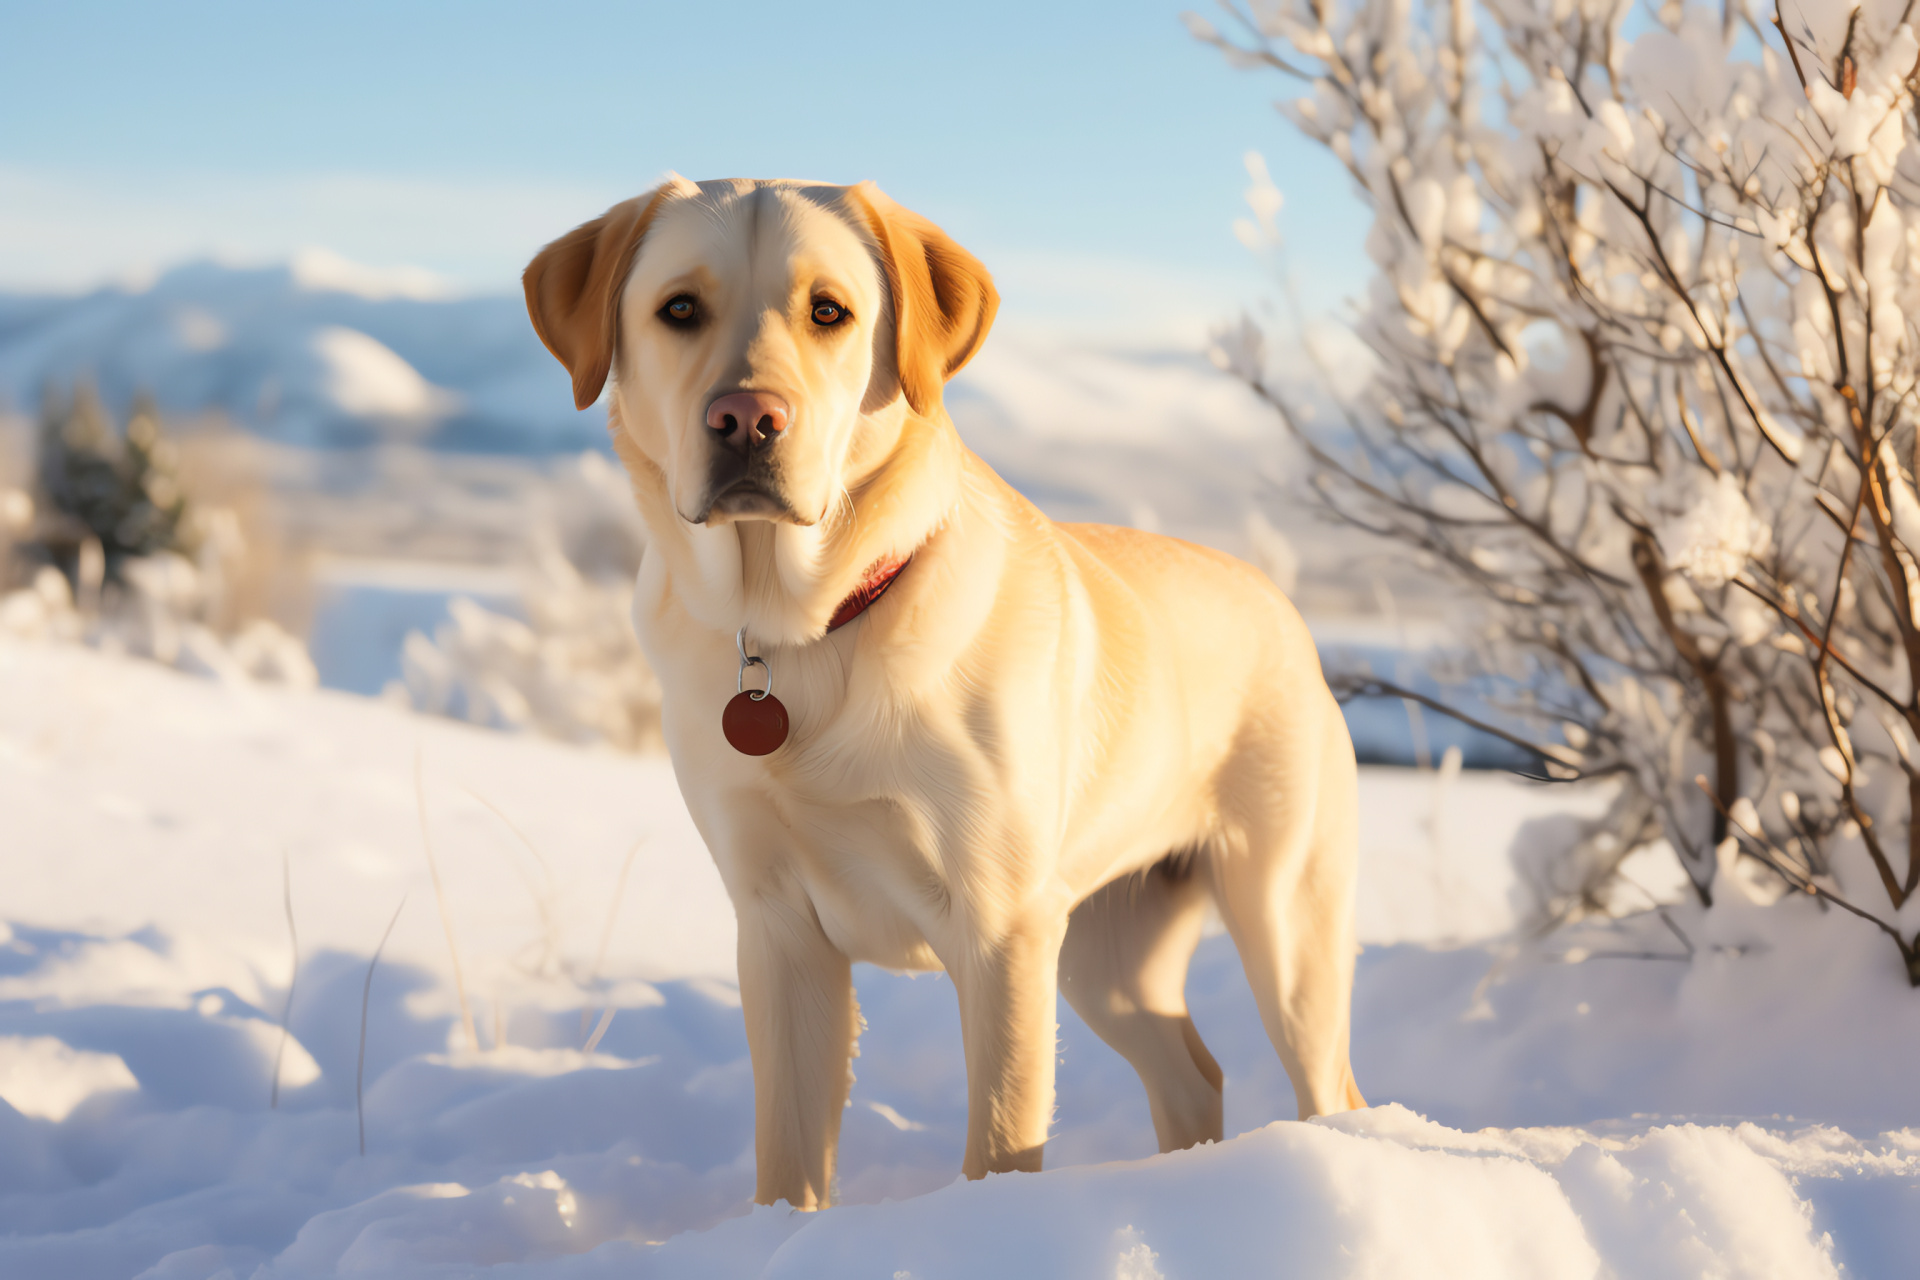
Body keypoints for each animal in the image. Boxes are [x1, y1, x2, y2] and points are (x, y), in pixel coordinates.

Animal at [526, 180, 1367, 1212]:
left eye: (830, 312)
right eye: (678, 308)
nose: (747, 419)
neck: (806, 631)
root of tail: (1281, 605)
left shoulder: (1001, 927)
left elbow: (1002, 1137)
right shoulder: (775, 926)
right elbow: (788, 1157)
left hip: (1284, 923)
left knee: (1328, 1083)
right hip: (1105, 953)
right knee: (1190, 1072)